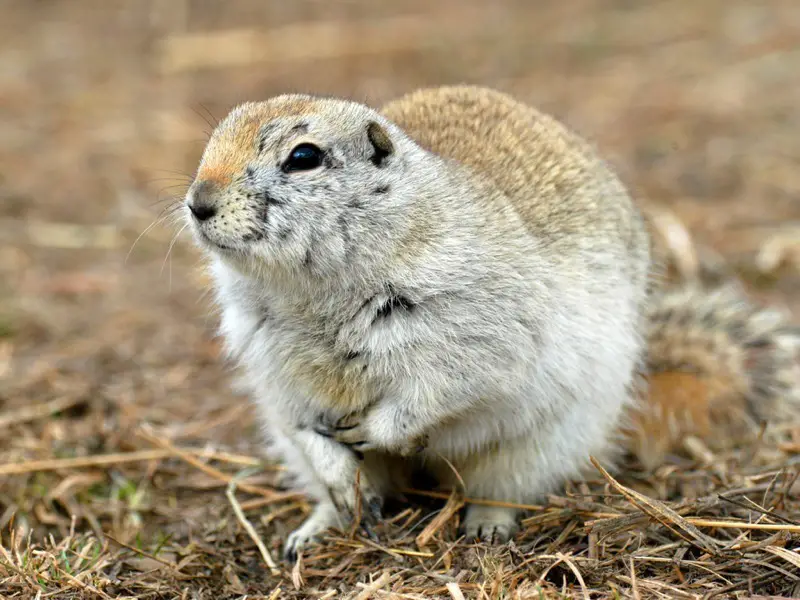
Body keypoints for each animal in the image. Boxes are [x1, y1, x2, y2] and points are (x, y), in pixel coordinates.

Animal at [183, 85, 800, 561]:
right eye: (215, 139)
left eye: (303, 157)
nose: (198, 203)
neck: (313, 293)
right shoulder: (271, 361)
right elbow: (301, 423)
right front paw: (338, 475)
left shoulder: (476, 332)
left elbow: (445, 389)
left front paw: (376, 429)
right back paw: (322, 524)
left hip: (542, 445)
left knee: (502, 489)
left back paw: (485, 525)